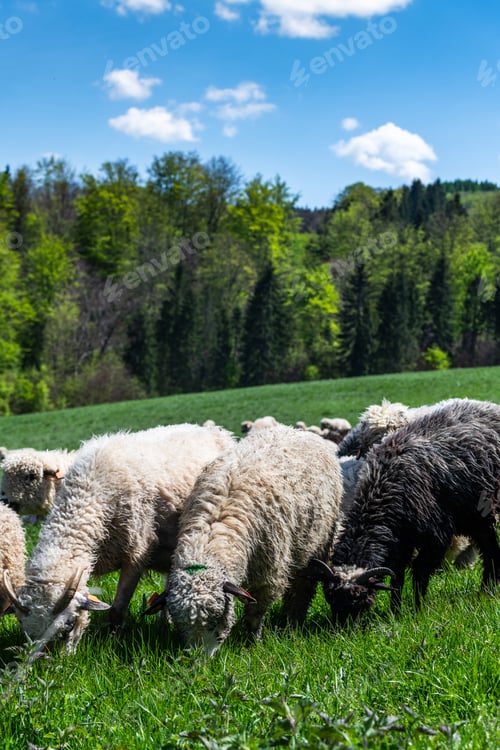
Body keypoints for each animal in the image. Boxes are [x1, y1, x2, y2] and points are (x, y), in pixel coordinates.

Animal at [4, 423, 235, 652]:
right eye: (26, 633)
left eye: (68, 626)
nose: (56, 663)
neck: (88, 489)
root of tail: (211, 428)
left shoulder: (136, 555)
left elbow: (117, 610)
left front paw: (113, 642)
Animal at [157, 424, 343, 655]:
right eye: (181, 626)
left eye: (215, 619)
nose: (199, 661)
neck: (212, 531)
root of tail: (295, 430)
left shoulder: (267, 575)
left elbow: (255, 614)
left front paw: (253, 642)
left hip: (319, 542)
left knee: (303, 586)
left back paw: (293, 621)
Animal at [310, 418, 500, 624]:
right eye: (330, 597)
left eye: (359, 599)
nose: (341, 628)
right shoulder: (401, 541)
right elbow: (397, 577)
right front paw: (395, 612)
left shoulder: (436, 538)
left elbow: (419, 574)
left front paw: (419, 610)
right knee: (490, 551)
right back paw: (486, 592)